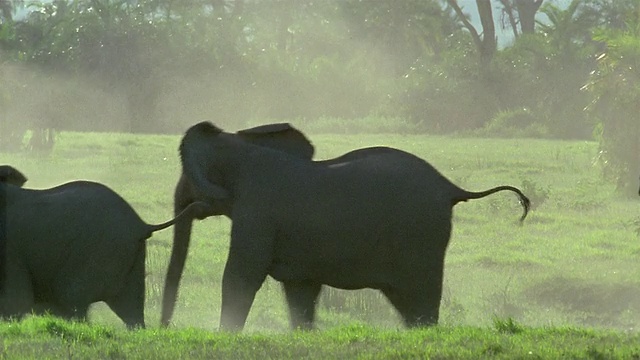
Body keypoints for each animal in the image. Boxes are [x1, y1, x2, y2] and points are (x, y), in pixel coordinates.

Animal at [0, 167, 208, 330]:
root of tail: (141, 224)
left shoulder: (10, 250)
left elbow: (15, 302)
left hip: (96, 252)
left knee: (72, 301)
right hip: (129, 260)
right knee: (131, 312)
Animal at [170, 123, 528, 332]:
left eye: (187, 178)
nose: (164, 327)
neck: (243, 146)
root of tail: (451, 187)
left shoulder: (256, 212)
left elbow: (241, 275)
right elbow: (300, 288)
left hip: (421, 236)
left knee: (420, 297)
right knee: (407, 302)